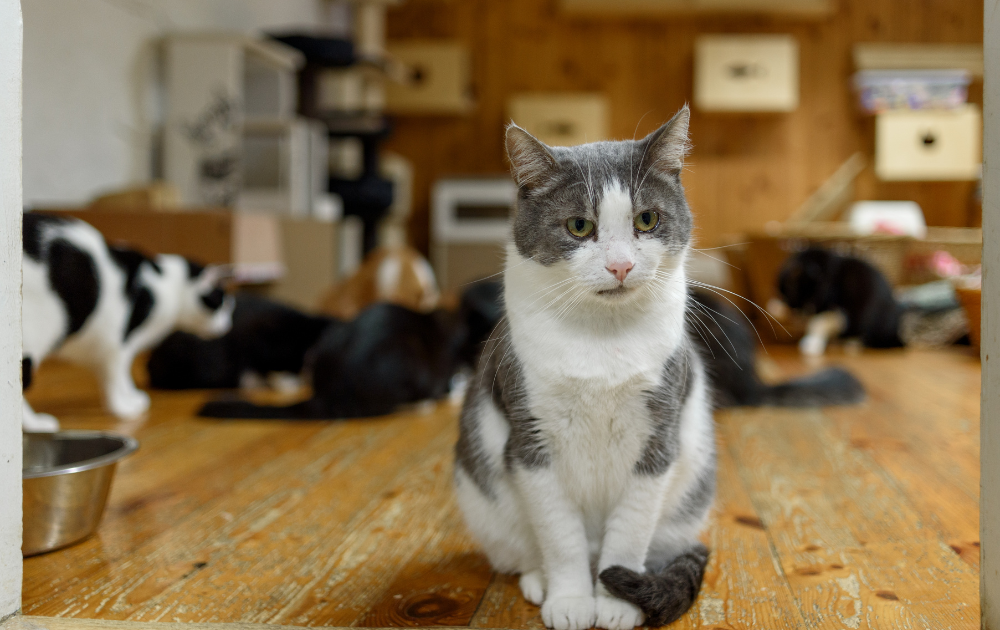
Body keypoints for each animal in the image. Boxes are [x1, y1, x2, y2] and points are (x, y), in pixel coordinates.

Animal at [24, 215, 235, 432]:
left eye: (230, 307)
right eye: (223, 306)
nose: (227, 326)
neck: (166, 284)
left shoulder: (117, 346)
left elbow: (121, 375)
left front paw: (131, 396)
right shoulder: (117, 342)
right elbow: (116, 376)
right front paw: (123, 407)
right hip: (38, 333)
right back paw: (35, 424)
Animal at [458, 106, 716, 628]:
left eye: (647, 219)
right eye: (579, 226)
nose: (620, 266)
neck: (602, 338)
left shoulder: (658, 440)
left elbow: (629, 533)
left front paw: (615, 604)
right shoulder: (531, 442)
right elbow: (561, 537)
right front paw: (572, 600)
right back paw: (538, 580)